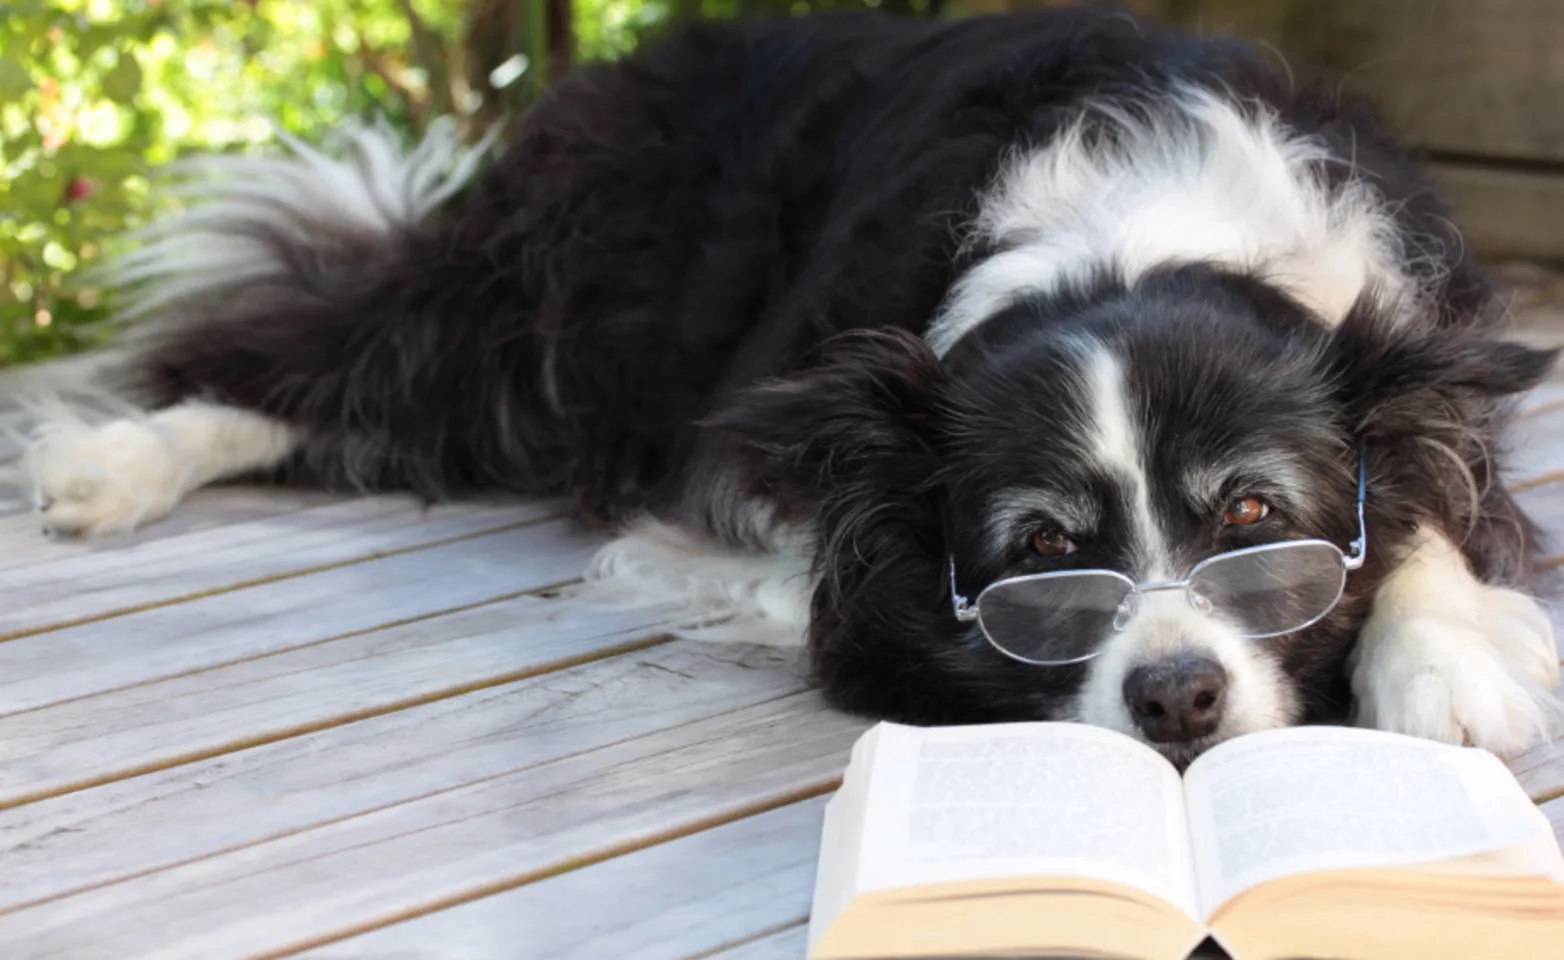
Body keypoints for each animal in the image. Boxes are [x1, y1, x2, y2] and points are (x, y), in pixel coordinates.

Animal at [27, 5, 1564, 759]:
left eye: (1253, 519)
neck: (1131, 239)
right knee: (337, 351)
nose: (1176, 699)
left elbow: (1428, 493)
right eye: (1041, 556)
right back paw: (111, 467)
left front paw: (1445, 657)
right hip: (560, 294)